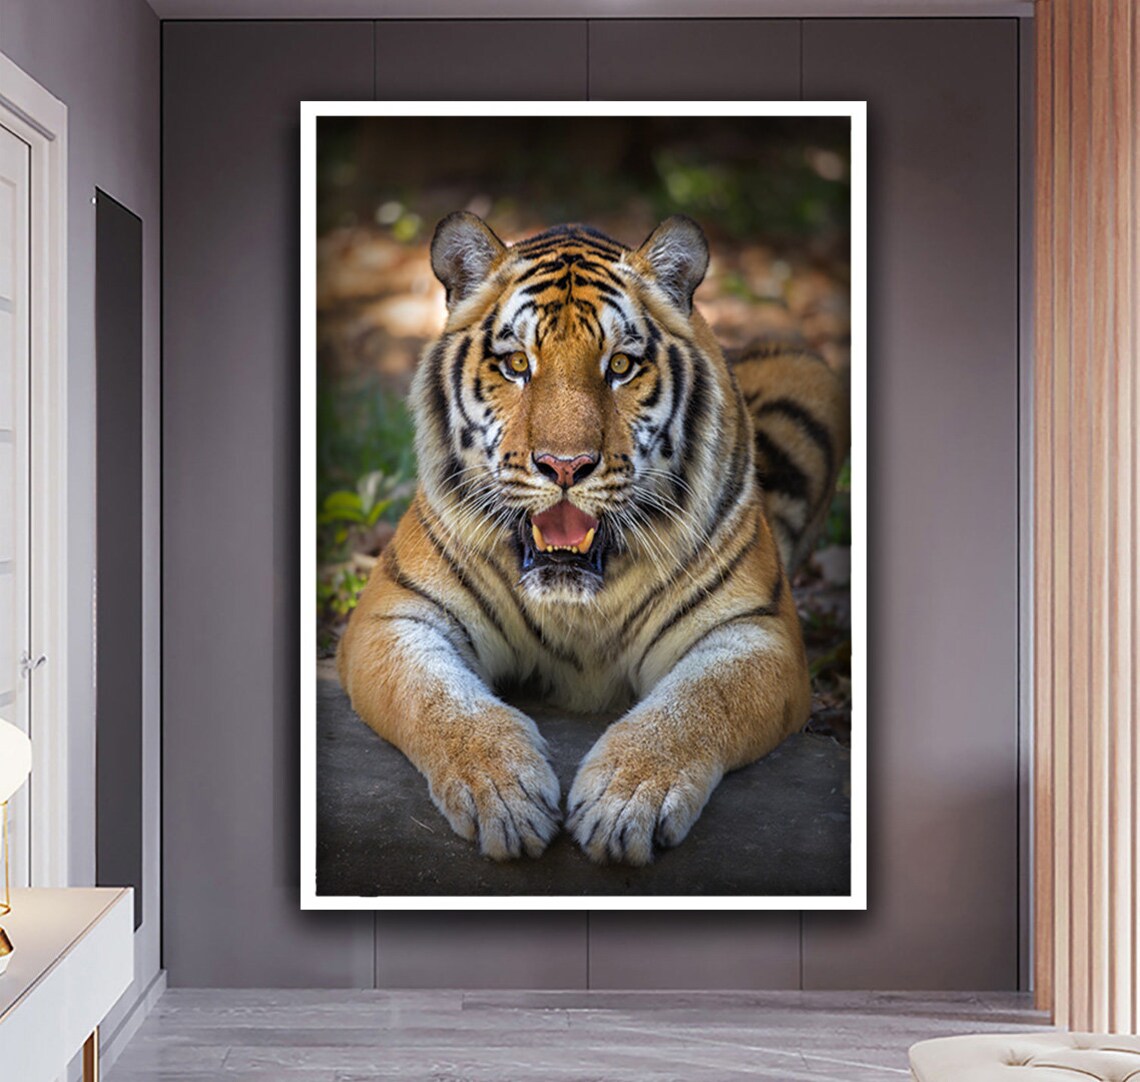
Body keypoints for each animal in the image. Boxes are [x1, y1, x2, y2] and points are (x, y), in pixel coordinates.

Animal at [336, 212, 849, 866]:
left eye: (621, 367)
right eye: (516, 364)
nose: (565, 465)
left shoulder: (757, 631)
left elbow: (697, 705)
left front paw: (624, 801)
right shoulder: (395, 615)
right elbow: (438, 700)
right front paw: (505, 793)